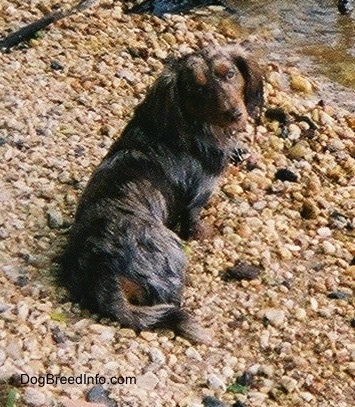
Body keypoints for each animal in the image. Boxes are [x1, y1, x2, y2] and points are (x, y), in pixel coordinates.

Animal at [62, 44, 264, 342]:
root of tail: (104, 274)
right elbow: (193, 220)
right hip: (173, 249)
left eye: (229, 74)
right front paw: (205, 232)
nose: (236, 115)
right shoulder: (200, 193)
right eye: (198, 89)